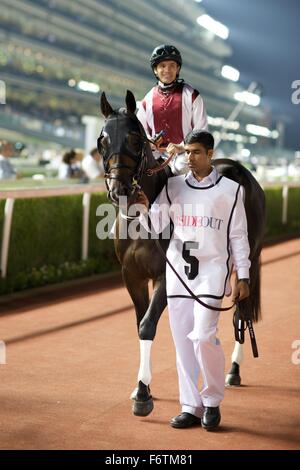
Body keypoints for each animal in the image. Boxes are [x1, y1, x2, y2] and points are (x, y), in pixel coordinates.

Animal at [98, 90, 264, 416]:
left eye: (135, 139)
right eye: (103, 139)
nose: (119, 188)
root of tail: (238, 169)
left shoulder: (168, 275)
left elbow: (147, 326)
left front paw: (143, 395)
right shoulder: (132, 276)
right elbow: (140, 323)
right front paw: (144, 386)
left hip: (248, 259)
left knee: (242, 310)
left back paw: (233, 370)